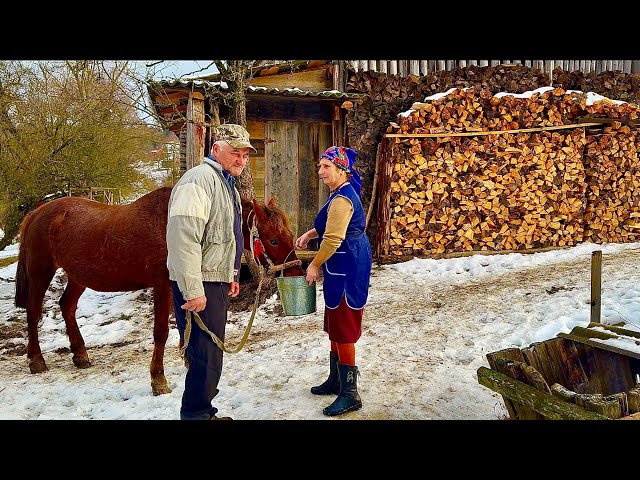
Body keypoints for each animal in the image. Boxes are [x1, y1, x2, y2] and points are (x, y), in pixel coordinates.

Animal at [13, 186, 304, 396]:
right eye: (273, 240)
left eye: (290, 232)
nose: (296, 272)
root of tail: (38, 213)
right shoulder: (164, 287)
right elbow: (162, 333)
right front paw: (158, 379)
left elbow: (186, 326)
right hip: (41, 273)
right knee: (34, 313)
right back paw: (36, 360)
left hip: (78, 276)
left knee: (67, 307)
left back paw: (80, 354)